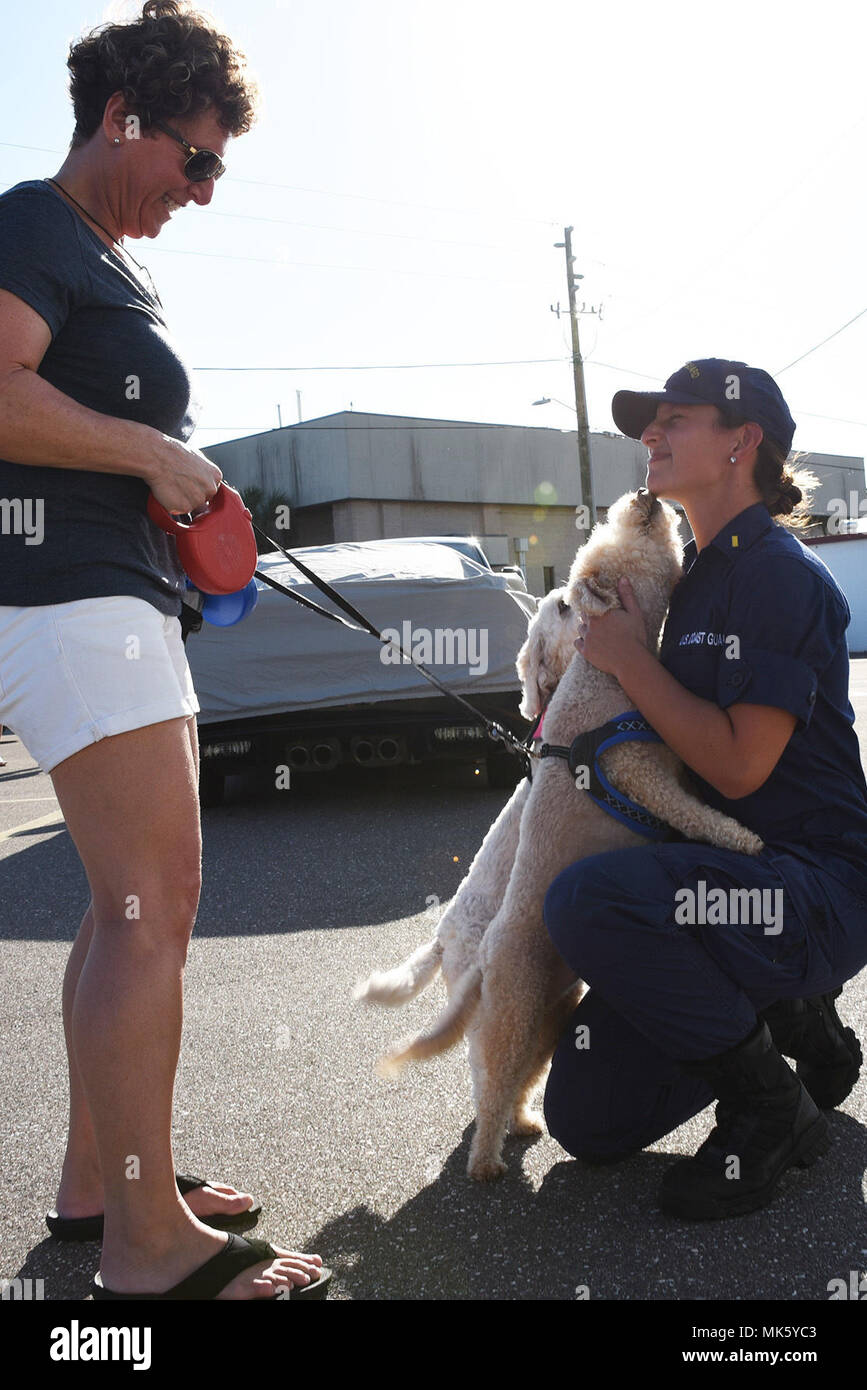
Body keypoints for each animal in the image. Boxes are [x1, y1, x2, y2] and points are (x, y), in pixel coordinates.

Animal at [355, 494, 761, 1178]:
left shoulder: (662, 761)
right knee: (490, 1080)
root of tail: (459, 948)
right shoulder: (640, 773)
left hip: (550, 1015)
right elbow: (694, 812)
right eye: (623, 537)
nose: (646, 498)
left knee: (518, 1075)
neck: (606, 674)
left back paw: (520, 1126)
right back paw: (486, 1161)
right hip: (511, 1008)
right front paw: (741, 839)